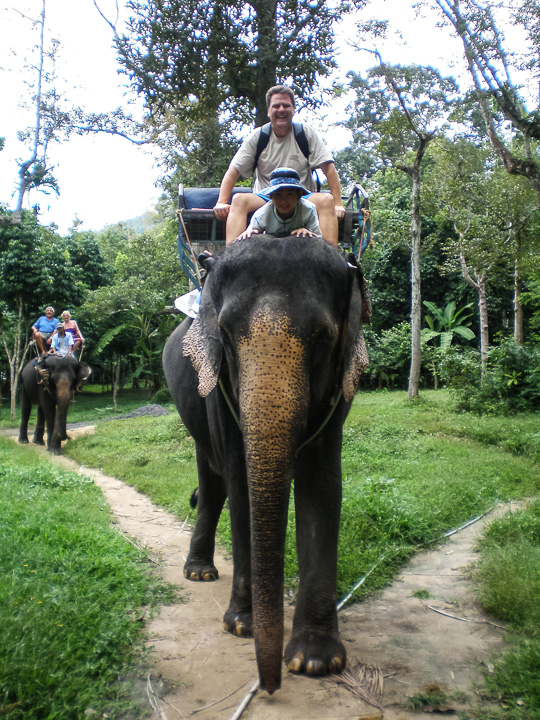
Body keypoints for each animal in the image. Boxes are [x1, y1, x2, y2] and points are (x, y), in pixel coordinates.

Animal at [163, 234, 369, 694]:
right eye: (224, 332)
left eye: (323, 337)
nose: (270, 686)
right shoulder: (218, 388)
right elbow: (241, 483)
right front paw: (243, 625)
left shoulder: (340, 388)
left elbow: (322, 483)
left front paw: (314, 661)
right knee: (213, 483)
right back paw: (199, 574)